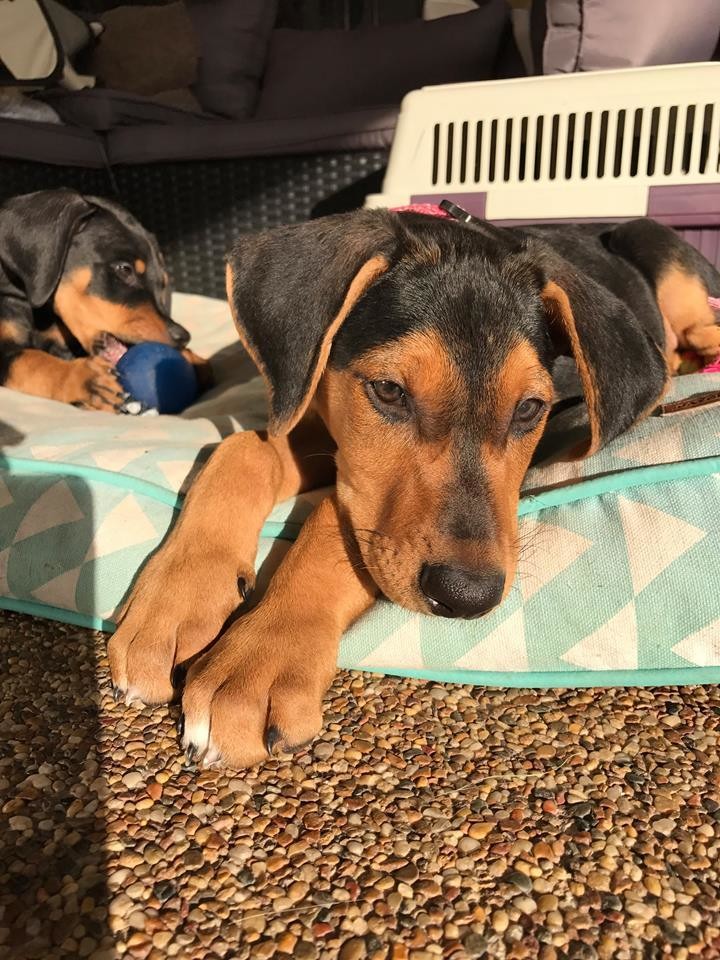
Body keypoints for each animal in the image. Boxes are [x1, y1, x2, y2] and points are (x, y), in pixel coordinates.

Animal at [0, 188, 204, 410]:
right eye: (124, 269)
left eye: (163, 282)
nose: (183, 337)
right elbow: (29, 359)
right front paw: (82, 378)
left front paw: (192, 358)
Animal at [108, 210, 720, 769]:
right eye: (387, 390)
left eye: (529, 409)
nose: (467, 597)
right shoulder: (310, 403)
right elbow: (242, 448)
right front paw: (176, 599)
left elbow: (332, 515)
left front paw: (256, 661)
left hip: (660, 250)